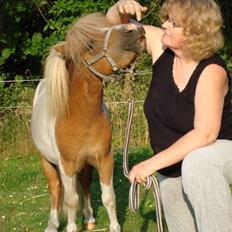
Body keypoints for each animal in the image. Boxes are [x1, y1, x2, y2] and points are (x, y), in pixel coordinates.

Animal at [29, 12, 144, 232]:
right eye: (89, 44)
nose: (135, 29)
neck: (81, 119)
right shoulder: (66, 165)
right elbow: (70, 201)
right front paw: (71, 227)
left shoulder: (104, 160)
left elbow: (108, 197)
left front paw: (114, 226)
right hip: (46, 161)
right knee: (56, 189)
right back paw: (52, 224)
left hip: (85, 166)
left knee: (83, 184)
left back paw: (89, 218)